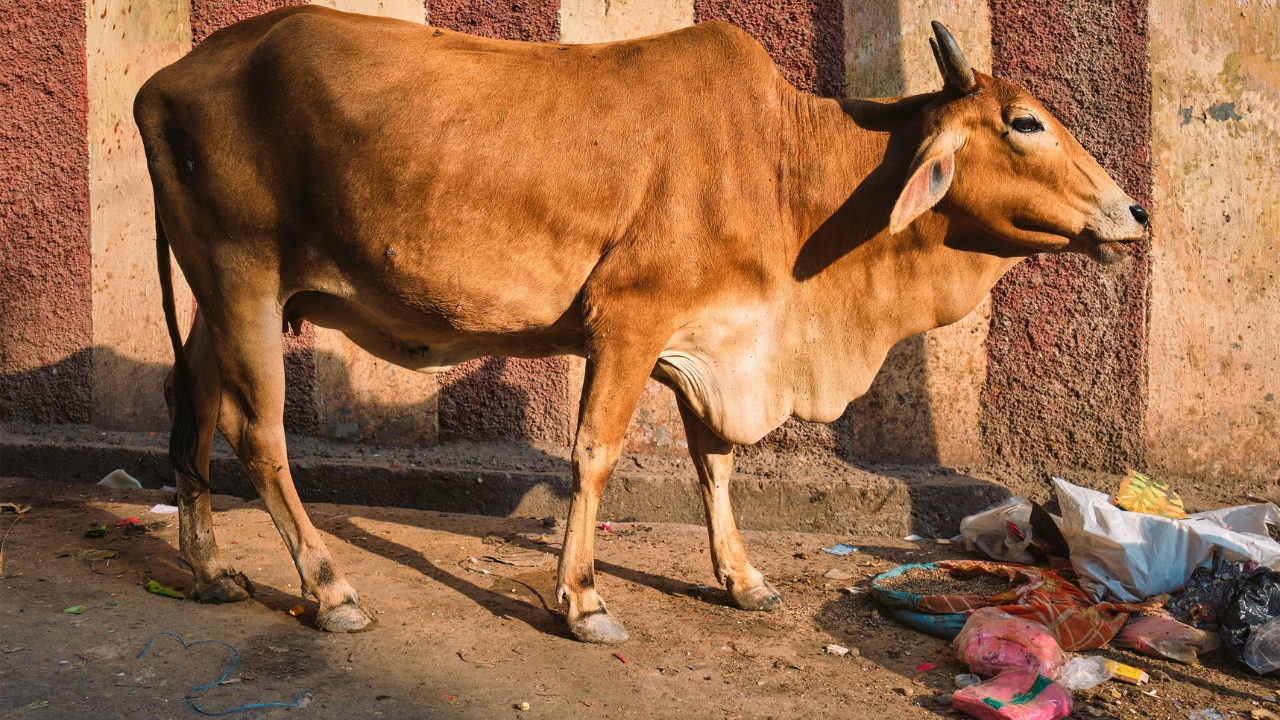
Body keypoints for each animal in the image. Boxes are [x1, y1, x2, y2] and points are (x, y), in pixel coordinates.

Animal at [136, 7, 1146, 643]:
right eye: (1026, 121)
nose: (1133, 213)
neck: (789, 171)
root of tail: (166, 79)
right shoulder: (627, 321)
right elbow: (593, 455)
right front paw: (581, 602)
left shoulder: (715, 341)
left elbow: (716, 466)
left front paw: (742, 579)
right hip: (245, 277)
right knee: (258, 434)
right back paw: (330, 589)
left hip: (220, 296)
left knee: (189, 407)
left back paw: (209, 571)